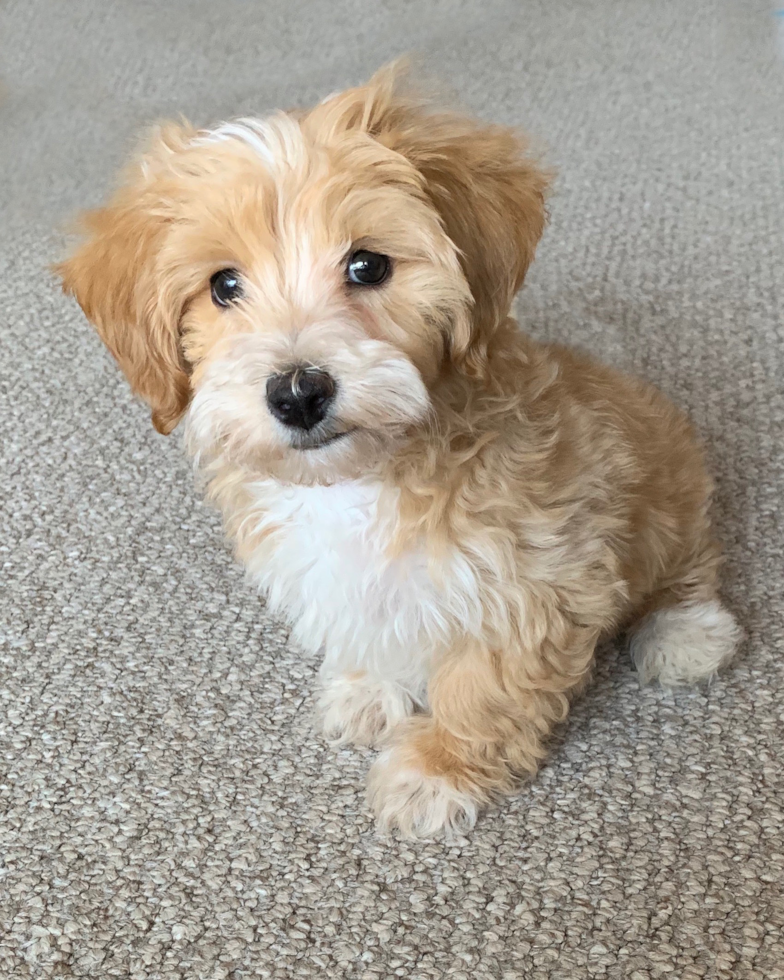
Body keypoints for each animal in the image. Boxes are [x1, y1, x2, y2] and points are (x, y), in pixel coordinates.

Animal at [59, 65, 740, 840]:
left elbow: (484, 689)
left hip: (667, 489)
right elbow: (367, 622)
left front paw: (436, 771)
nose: (298, 392)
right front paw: (367, 689)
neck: (361, 479)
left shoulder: (533, 579)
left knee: (690, 562)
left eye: (367, 265)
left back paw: (687, 632)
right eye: (224, 285)